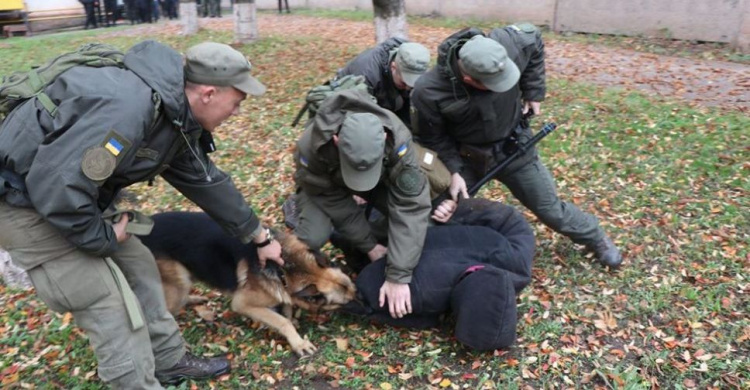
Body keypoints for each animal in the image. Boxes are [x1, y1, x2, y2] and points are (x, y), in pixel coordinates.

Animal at [140, 212, 356, 354]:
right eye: (345, 302)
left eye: (353, 289)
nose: (361, 297)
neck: (288, 266)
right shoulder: (243, 303)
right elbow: (282, 321)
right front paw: (298, 342)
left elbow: (286, 305)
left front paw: (291, 318)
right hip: (179, 282)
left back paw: (193, 299)